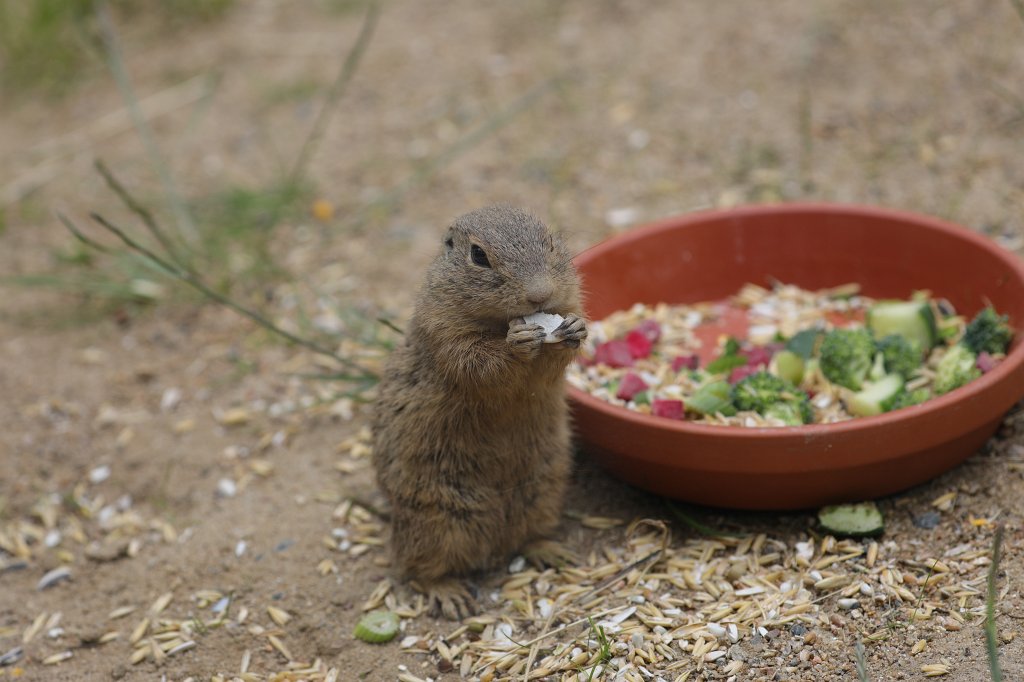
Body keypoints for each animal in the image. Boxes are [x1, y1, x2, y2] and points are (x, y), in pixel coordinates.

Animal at [371, 205, 587, 619]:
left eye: (550, 241)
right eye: (478, 256)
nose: (540, 295)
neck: (499, 322)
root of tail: (494, 547)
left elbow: (554, 361)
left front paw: (575, 328)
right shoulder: (445, 332)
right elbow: (478, 363)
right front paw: (517, 342)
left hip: (542, 492)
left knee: (526, 538)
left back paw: (554, 552)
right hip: (435, 519)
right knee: (414, 568)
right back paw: (448, 594)